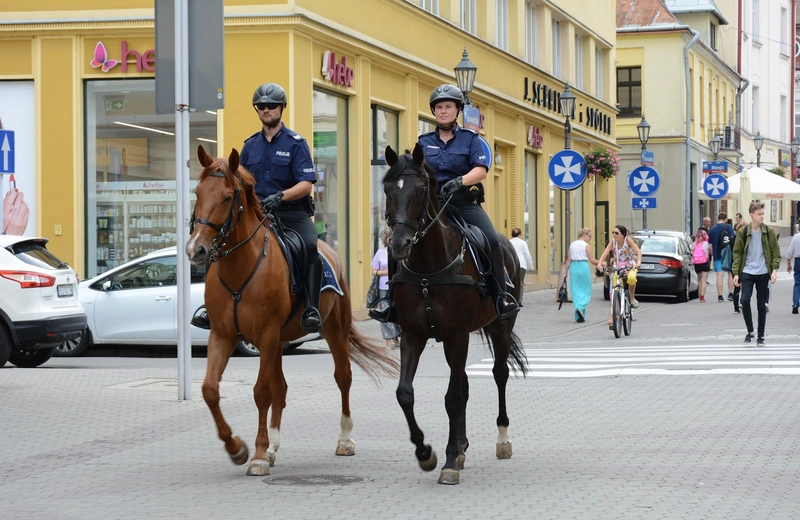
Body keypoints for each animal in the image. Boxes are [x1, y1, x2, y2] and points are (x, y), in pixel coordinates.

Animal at [188, 145, 400, 476]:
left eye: (227, 196)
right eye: (197, 192)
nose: (195, 249)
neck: (241, 268)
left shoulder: (265, 335)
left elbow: (261, 392)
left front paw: (257, 456)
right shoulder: (223, 335)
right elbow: (210, 389)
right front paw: (237, 448)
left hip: (331, 331)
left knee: (343, 377)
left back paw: (344, 440)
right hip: (279, 342)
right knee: (282, 388)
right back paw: (273, 446)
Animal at [382, 143, 528, 484]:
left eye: (421, 189)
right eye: (386, 189)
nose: (399, 245)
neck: (428, 267)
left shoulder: (457, 333)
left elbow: (452, 397)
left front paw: (447, 461)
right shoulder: (413, 334)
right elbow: (405, 393)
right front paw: (426, 453)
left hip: (500, 327)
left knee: (498, 374)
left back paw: (502, 440)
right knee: (463, 382)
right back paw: (461, 447)